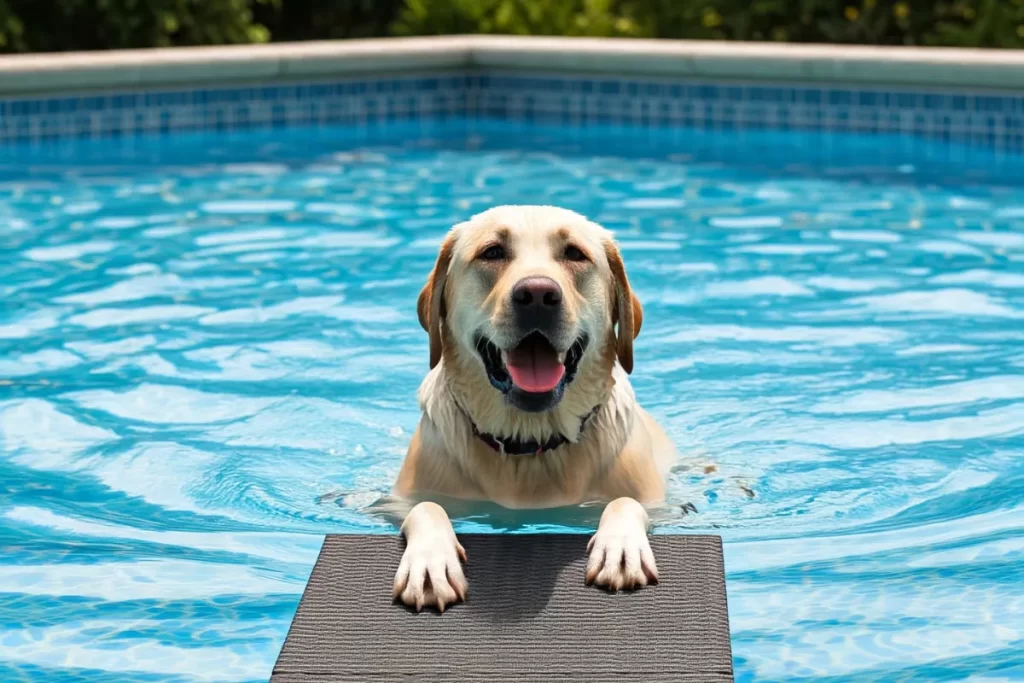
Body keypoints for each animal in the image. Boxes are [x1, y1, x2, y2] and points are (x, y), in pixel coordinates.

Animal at [389, 205, 671, 610]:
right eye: (492, 252)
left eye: (574, 254)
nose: (537, 294)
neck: (530, 441)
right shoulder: (398, 502)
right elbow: (425, 507)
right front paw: (430, 561)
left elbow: (625, 501)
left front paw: (621, 549)